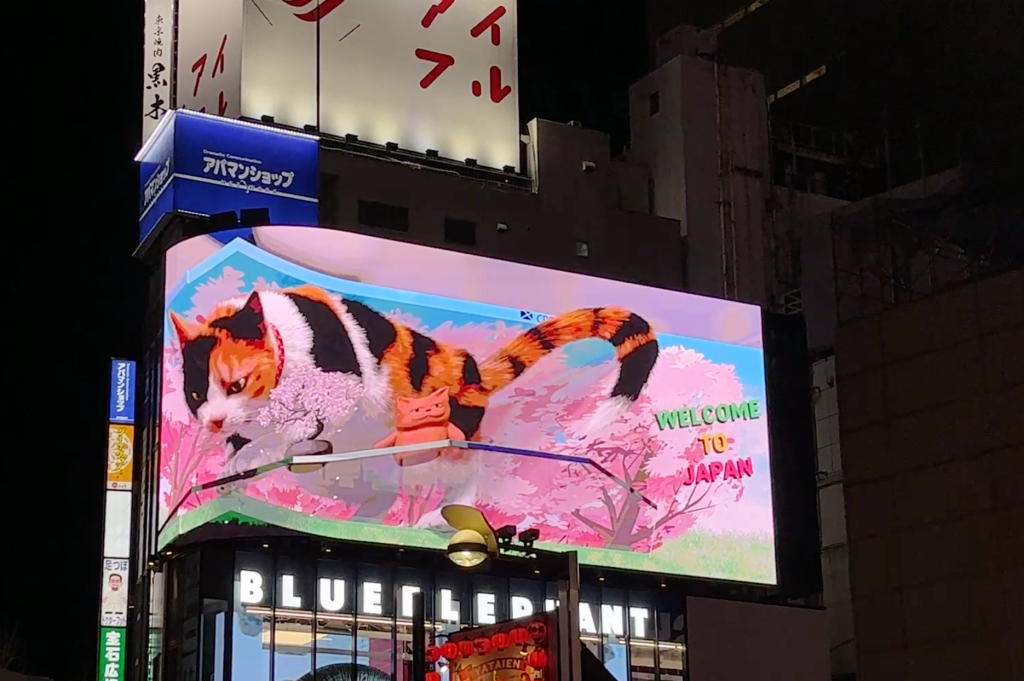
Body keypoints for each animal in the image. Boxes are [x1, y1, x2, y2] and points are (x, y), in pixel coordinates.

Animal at [169, 283, 659, 460]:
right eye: (195, 397)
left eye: (237, 383)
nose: (214, 421)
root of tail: (475, 371)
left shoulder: (340, 391)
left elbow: (304, 426)